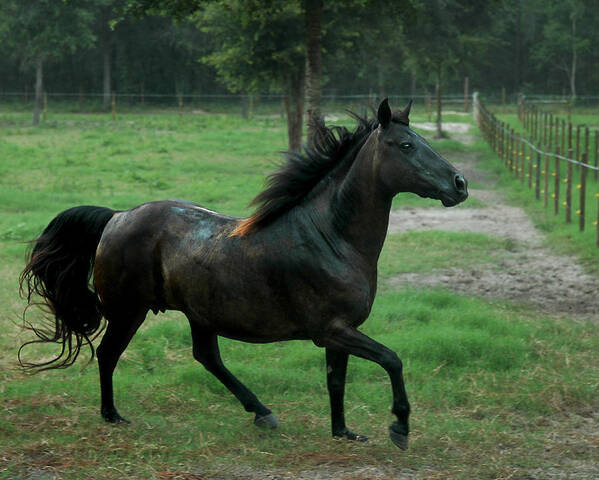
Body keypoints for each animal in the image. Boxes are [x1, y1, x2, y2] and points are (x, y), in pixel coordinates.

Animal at [19, 99, 468, 452]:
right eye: (406, 145)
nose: (460, 184)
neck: (331, 237)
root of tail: (116, 217)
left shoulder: (340, 331)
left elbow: (335, 381)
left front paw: (344, 433)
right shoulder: (332, 330)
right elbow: (391, 360)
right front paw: (399, 427)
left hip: (197, 314)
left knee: (207, 358)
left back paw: (262, 413)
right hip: (130, 312)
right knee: (109, 354)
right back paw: (112, 415)